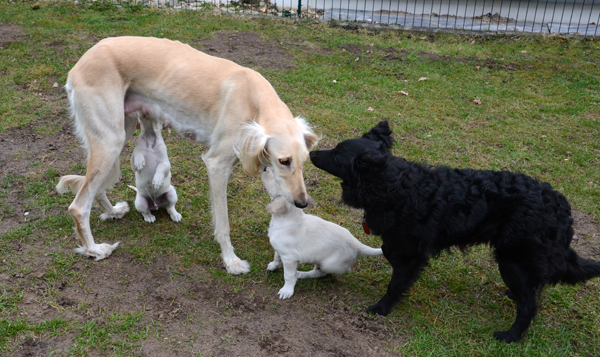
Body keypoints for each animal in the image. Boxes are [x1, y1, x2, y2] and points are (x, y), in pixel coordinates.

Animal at [56, 36, 318, 272]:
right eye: (284, 161)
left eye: (304, 162)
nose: (302, 203)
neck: (255, 100)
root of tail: (80, 63)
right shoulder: (217, 165)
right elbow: (223, 224)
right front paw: (231, 262)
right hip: (110, 141)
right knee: (78, 206)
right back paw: (95, 250)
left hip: (118, 134)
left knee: (93, 189)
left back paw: (112, 213)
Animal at [260, 167, 382, 298]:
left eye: (276, 178)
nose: (265, 168)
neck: (286, 218)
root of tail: (358, 245)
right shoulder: (281, 250)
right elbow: (276, 256)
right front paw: (274, 265)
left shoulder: (289, 258)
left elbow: (288, 275)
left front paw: (287, 290)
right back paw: (301, 274)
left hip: (328, 264)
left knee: (327, 272)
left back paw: (301, 274)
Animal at [310, 120, 600, 342]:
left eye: (336, 154)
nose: (311, 154)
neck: (393, 185)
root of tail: (561, 207)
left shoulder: (409, 252)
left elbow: (396, 282)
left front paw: (382, 308)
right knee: (534, 288)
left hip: (511, 260)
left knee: (529, 307)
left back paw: (511, 336)